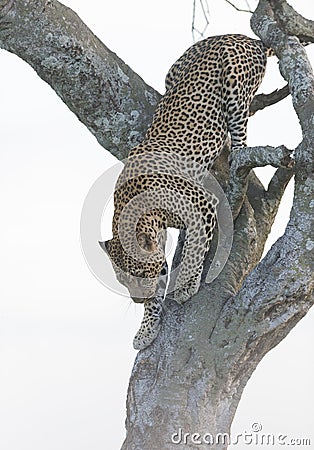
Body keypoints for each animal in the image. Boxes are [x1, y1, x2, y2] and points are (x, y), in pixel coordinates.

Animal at [100, 35, 272, 352]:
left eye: (138, 274)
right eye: (121, 279)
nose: (136, 300)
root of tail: (240, 36)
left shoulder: (202, 205)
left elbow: (194, 250)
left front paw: (187, 287)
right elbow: (159, 287)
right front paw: (146, 329)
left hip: (234, 83)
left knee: (240, 130)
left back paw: (236, 156)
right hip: (172, 72)